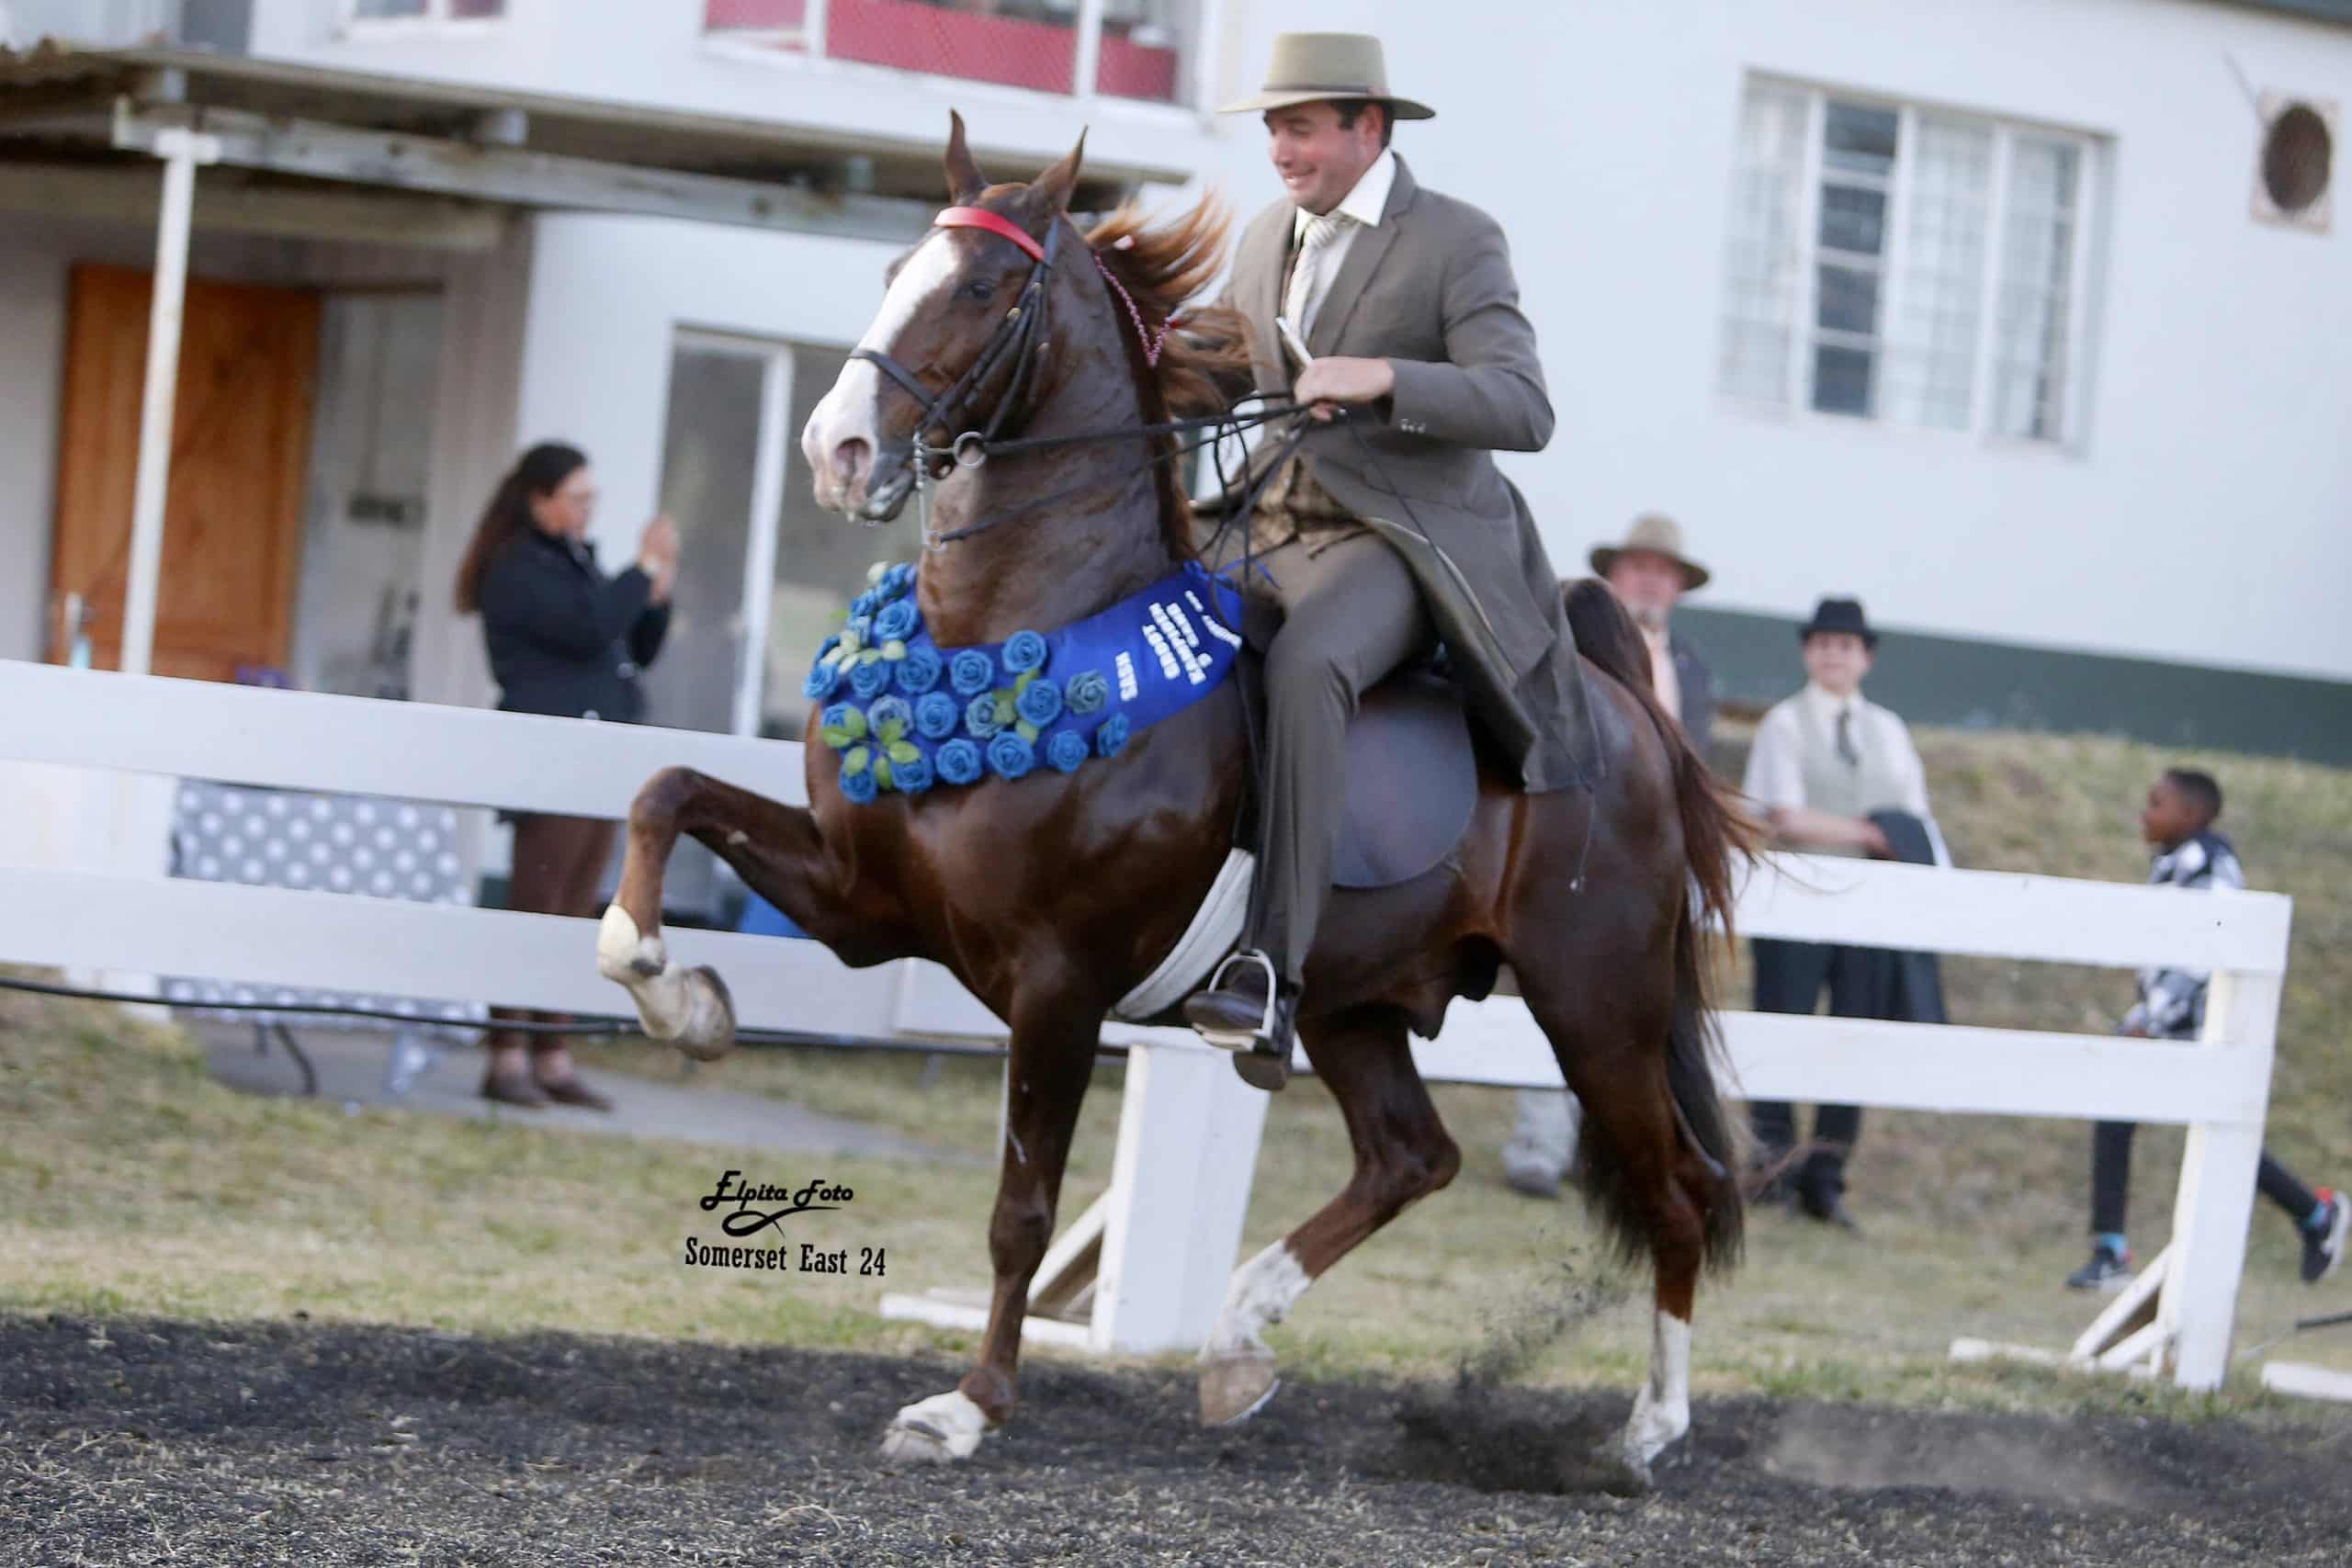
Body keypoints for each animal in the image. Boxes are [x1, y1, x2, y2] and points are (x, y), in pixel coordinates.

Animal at [602, 116, 1749, 1495]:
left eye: (980, 289)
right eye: (891, 269)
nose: (840, 453)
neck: (1018, 626)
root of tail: (1620, 703)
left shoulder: (1058, 982)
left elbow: (1022, 1208)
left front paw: (967, 1406)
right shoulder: (858, 899)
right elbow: (664, 794)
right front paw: (676, 992)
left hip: (1596, 1003)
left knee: (1676, 1187)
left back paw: (1648, 1432)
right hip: (1356, 1000)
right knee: (1412, 1152)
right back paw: (1238, 1341)